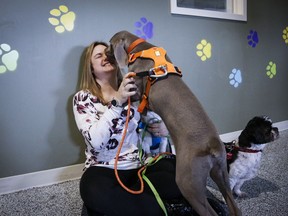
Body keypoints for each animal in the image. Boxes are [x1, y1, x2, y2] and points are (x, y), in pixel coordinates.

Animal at [106, 30, 241, 216]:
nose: (105, 54)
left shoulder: (136, 91)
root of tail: (212, 144)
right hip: (221, 172)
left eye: (109, 45)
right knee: (235, 207)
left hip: (188, 182)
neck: (139, 48)